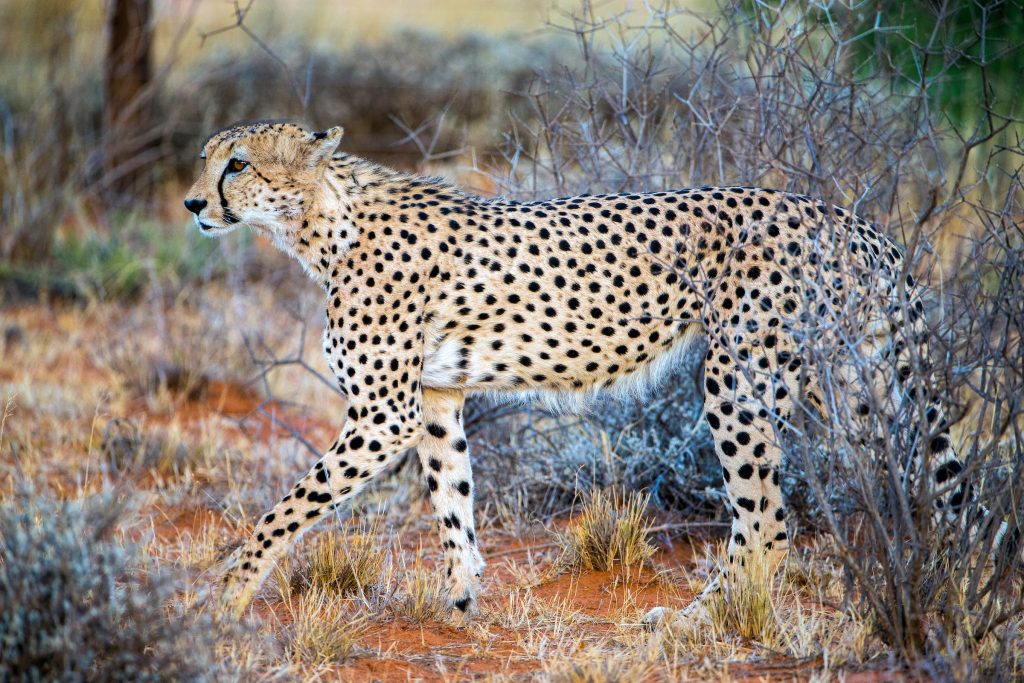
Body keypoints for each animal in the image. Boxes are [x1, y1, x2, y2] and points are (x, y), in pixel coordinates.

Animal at [184, 120, 1016, 628]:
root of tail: (851, 217)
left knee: (768, 521)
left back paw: (698, 619)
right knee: (899, 487)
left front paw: (226, 591)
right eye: (205, 158)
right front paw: (461, 599)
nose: (192, 203)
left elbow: (286, 509)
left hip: (739, 379)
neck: (321, 220)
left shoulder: (383, 412)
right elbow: (453, 504)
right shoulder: (437, 398)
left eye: (238, 163)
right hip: (855, 385)